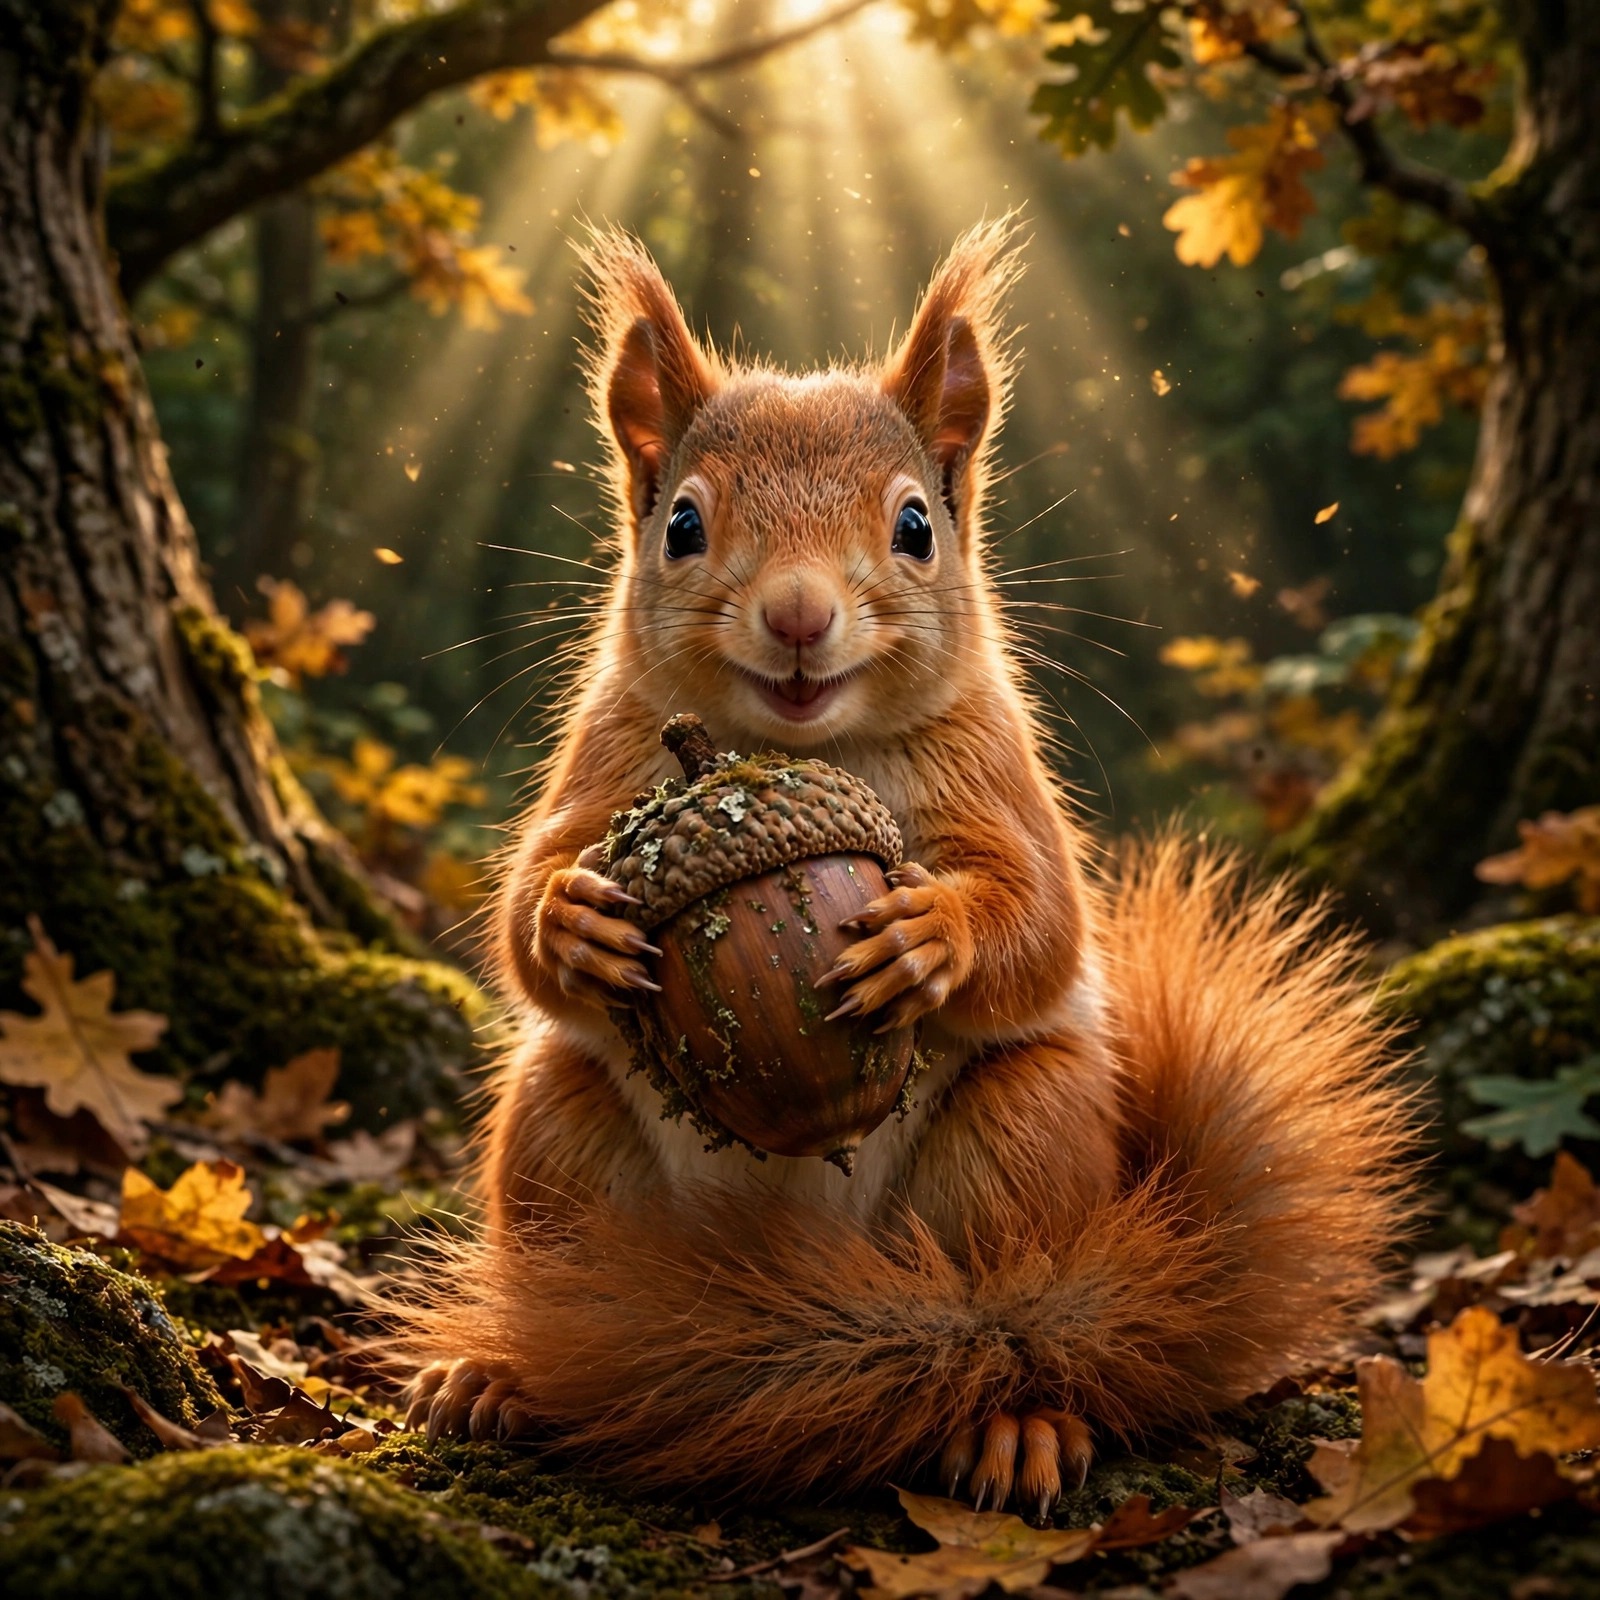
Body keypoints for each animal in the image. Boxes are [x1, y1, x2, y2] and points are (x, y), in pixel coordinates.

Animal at [402, 219, 1418, 1523]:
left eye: (916, 527)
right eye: (680, 525)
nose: (795, 615)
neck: (795, 746)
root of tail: (792, 1268)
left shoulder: (999, 775)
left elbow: (1042, 919)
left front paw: (932, 939)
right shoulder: (606, 755)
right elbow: (523, 897)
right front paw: (573, 921)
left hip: (1025, 1146)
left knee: (1012, 1320)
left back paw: (1015, 1420)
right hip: (554, 1138)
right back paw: (498, 1375)